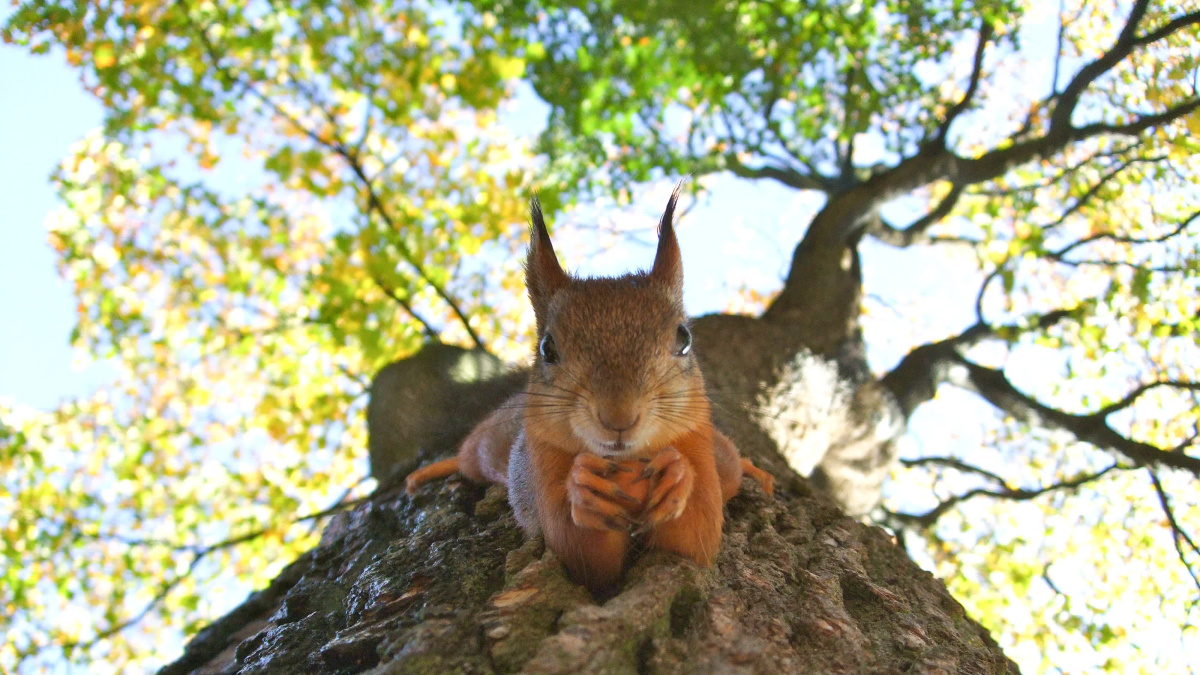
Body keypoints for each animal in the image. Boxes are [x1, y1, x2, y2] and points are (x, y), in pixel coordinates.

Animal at [405, 186, 777, 590]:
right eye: (547, 348)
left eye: (684, 338)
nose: (618, 418)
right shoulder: (542, 463)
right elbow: (582, 555)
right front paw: (584, 490)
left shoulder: (697, 443)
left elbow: (696, 539)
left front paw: (677, 475)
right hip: (487, 448)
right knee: (466, 457)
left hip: (721, 457)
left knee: (732, 463)